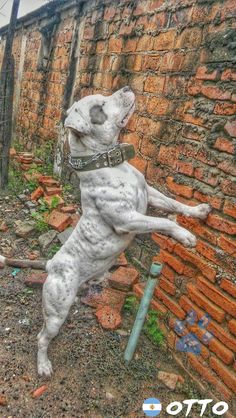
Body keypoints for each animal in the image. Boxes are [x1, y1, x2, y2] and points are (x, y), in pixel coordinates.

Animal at [0, 87, 210, 376]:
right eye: (99, 106)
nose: (127, 88)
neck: (110, 164)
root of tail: (51, 263)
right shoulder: (128, 219)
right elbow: (164, 222)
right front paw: (185, 236)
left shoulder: (151, 195)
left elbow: (174, 204)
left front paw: (198, 211)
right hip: (56, 311)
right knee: (42, 337)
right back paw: (43, 365)